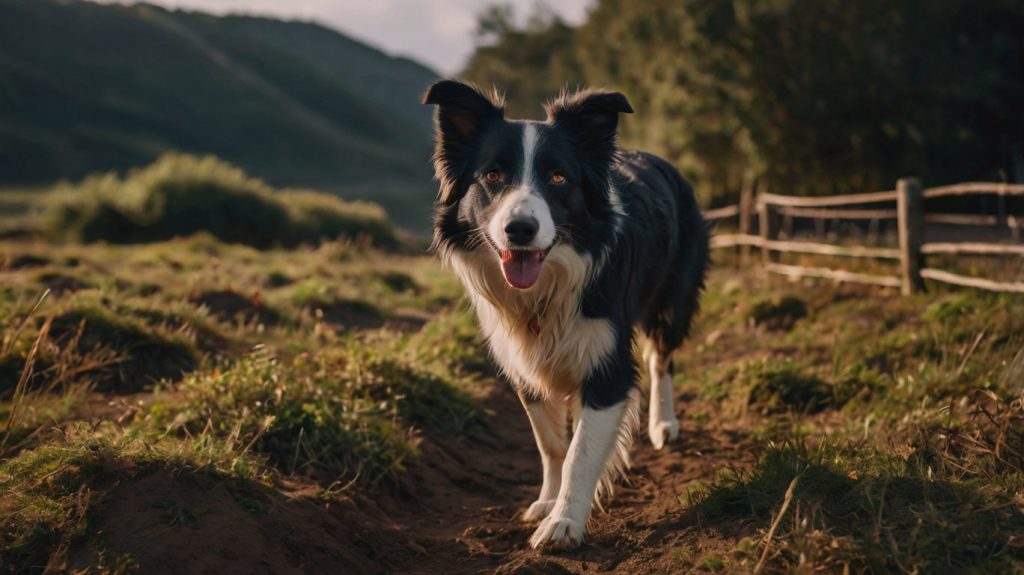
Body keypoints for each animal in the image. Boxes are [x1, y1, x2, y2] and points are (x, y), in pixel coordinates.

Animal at [419, 79, 708, 544]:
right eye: (492, 176)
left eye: (559, 178)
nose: (520, 230)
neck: (548, 286)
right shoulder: (523, 361)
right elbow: (552, 443)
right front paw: (548, 502)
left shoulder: (607, 365)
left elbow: (581, 451)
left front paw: (565, 522)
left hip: (674, 297)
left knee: (661, 357)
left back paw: (663, 424)